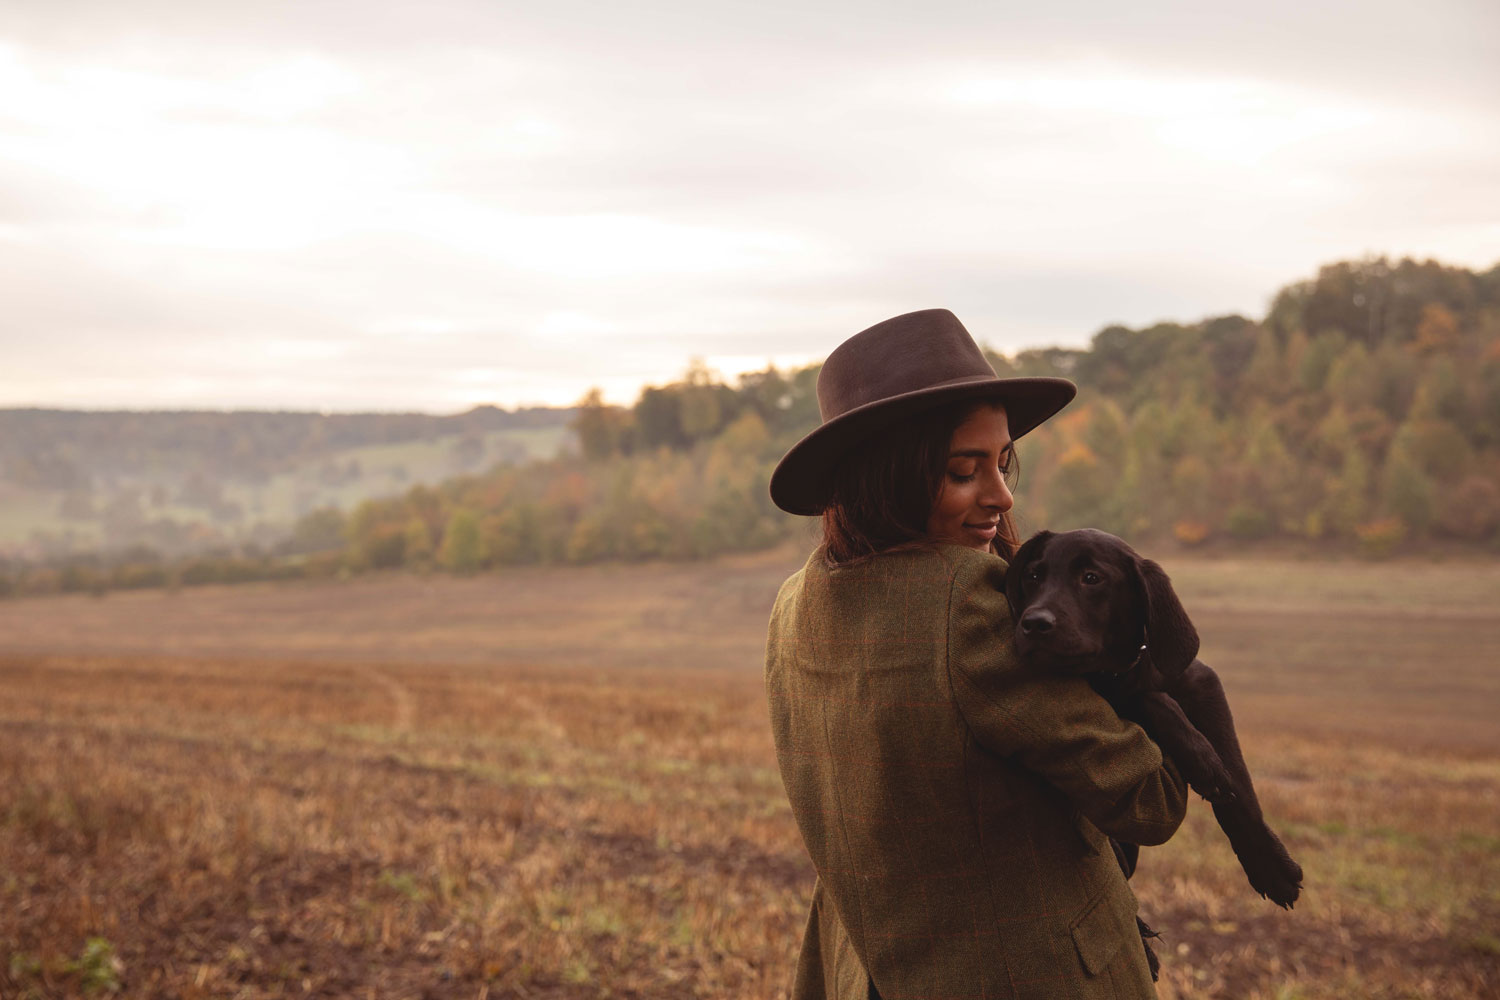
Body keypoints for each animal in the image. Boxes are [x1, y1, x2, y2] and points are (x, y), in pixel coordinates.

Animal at [1008, 530, 1302, 917]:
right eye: (1033, 575)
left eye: (1091, 578)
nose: (1033, 623)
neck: (1121, 669)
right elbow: (1151, 699)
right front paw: (1203, 761)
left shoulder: (1203, 684)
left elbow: (1239, 783)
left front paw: (1270, 865)